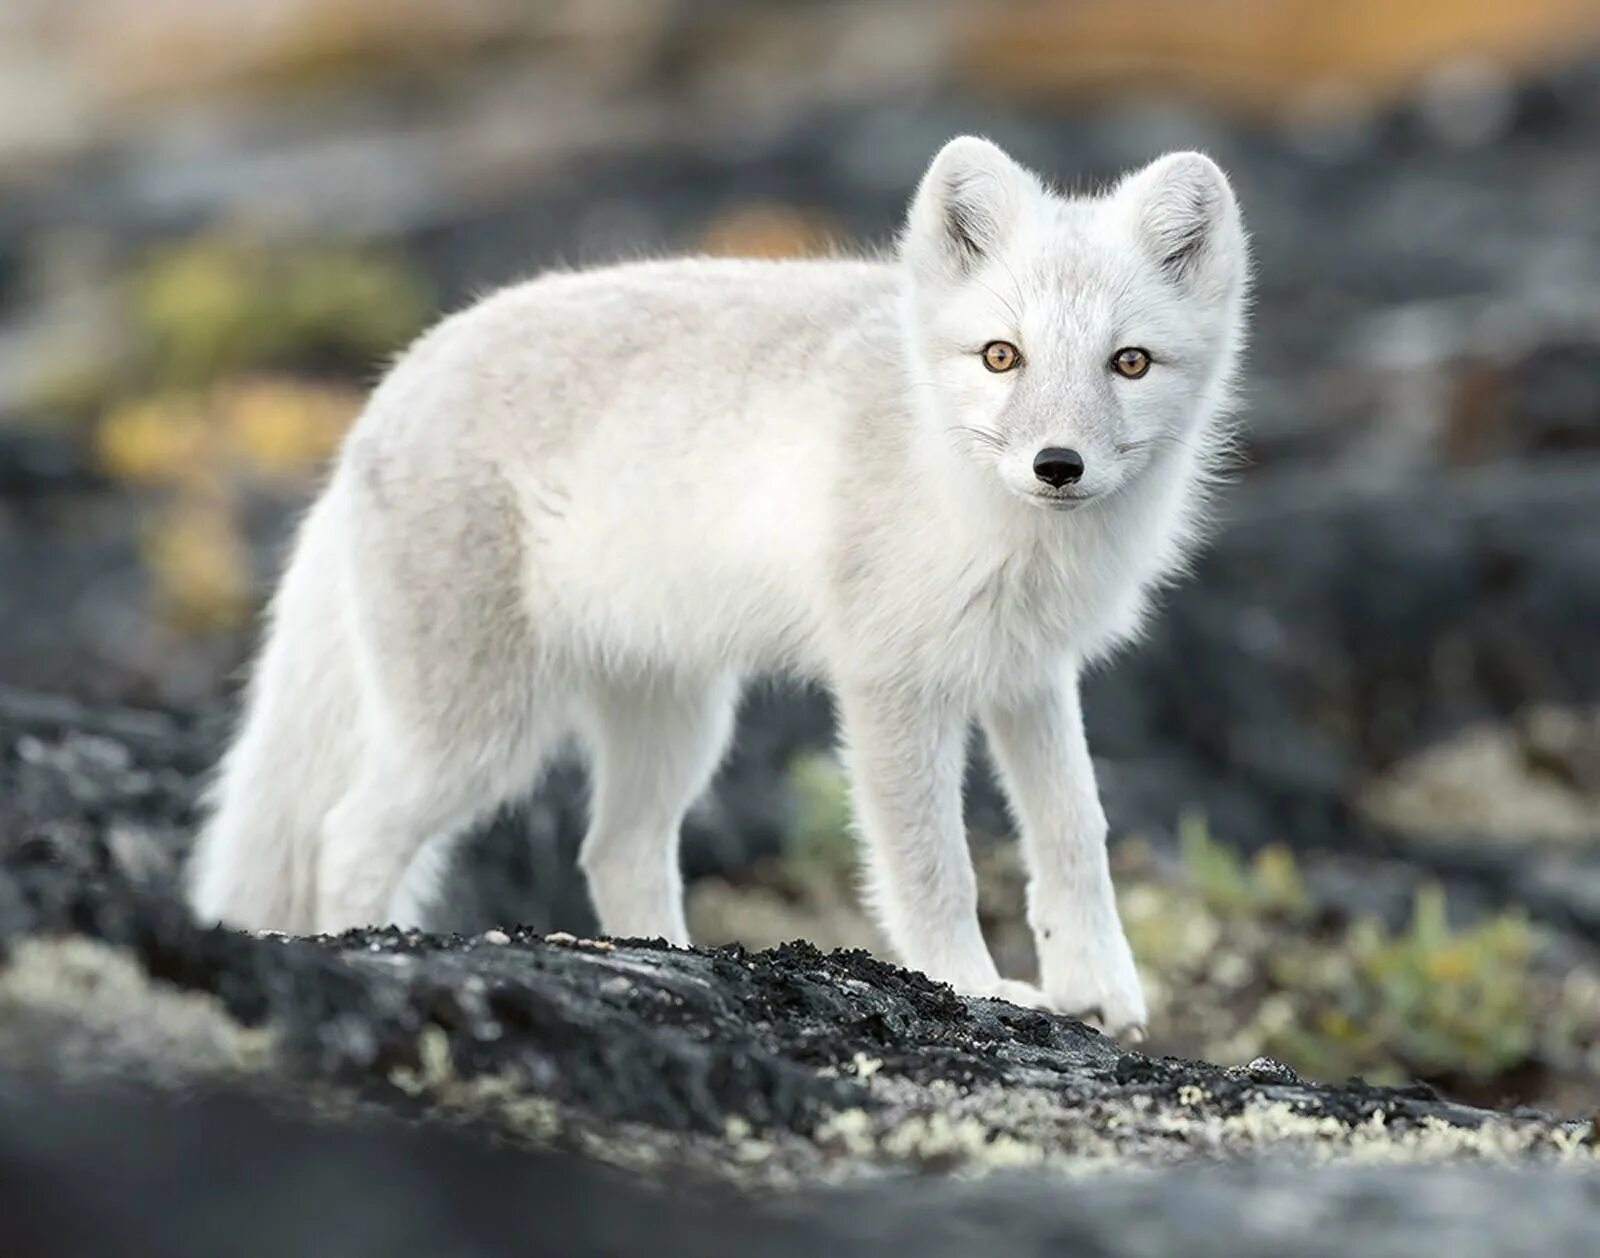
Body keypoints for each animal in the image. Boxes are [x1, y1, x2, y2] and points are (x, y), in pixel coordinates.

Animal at [187, 134, 1248, 1030]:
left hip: (677, 721)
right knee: (349, 833)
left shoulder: (1029, 672)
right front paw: (974, 986)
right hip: (477, 733)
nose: (1057, 466)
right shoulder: (891, 684)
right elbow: (932, 865)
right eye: (1002, 355)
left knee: (613, 850)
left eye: (1130, 362)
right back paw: (357, 945)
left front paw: (1100, 991)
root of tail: (381, 396)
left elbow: (1076, 832)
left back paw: (661, 959)